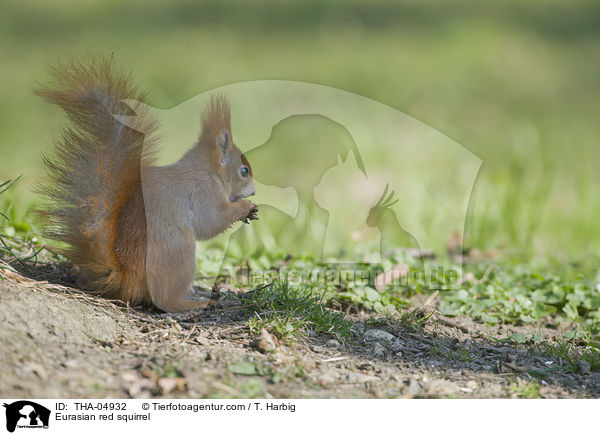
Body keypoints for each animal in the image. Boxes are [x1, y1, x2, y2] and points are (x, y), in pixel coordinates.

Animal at [33, 58, 258, 314]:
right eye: (244, 171)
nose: (255, 190)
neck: (208, 171)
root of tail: (126, 277)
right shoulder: (202, 191)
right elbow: (211, 221)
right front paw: (245, 207)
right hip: (178, 250)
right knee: (165, 300)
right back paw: (194, 302)